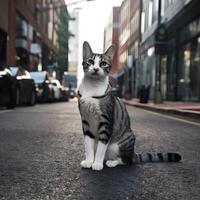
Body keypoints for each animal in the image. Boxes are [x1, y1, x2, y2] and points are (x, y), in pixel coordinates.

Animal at [77, 41, 181, 171]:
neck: (92, 88)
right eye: (90, 61)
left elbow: (101, 147)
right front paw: (89, 161)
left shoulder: (106, 122)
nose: (96, 69)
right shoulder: (86, 121)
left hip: (119, 144)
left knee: (127, 161)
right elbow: (88, 145)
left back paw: (112, 162)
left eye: (103, 63)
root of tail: (133, 154)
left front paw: (97, 164)